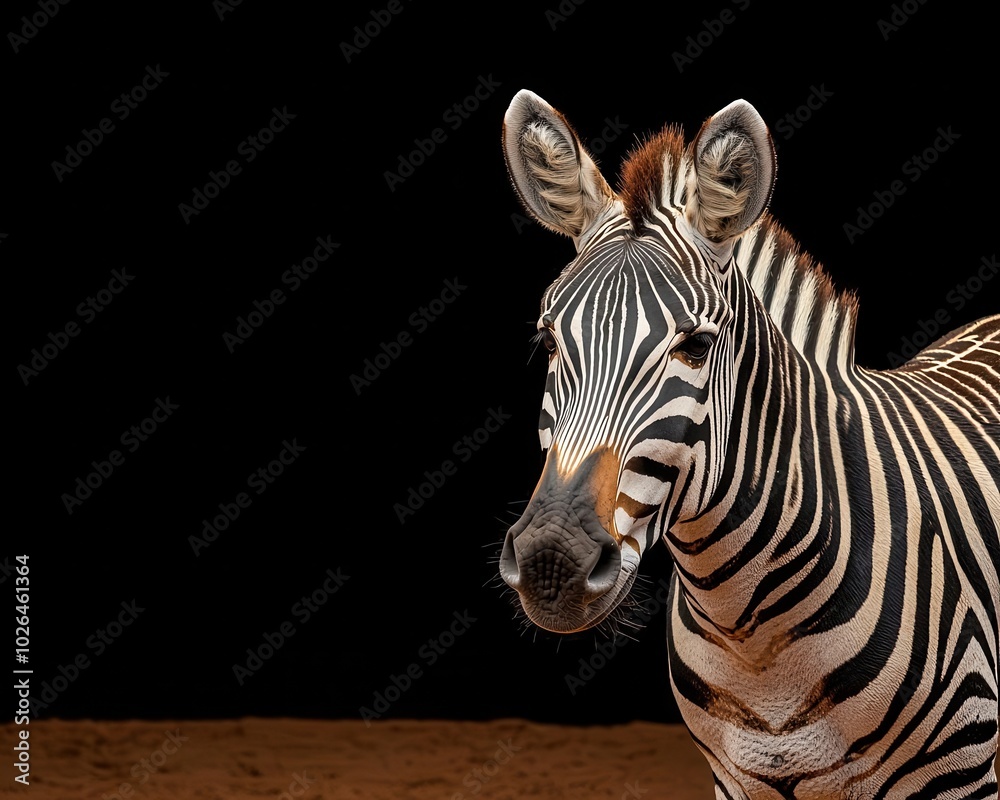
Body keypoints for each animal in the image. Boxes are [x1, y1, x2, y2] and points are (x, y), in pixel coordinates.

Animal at [498, 88, 1000, 798]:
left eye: (696, 345)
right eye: (547, 341)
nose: (551, 560)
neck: (753, 635)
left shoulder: (960, 771)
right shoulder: (738, 780)